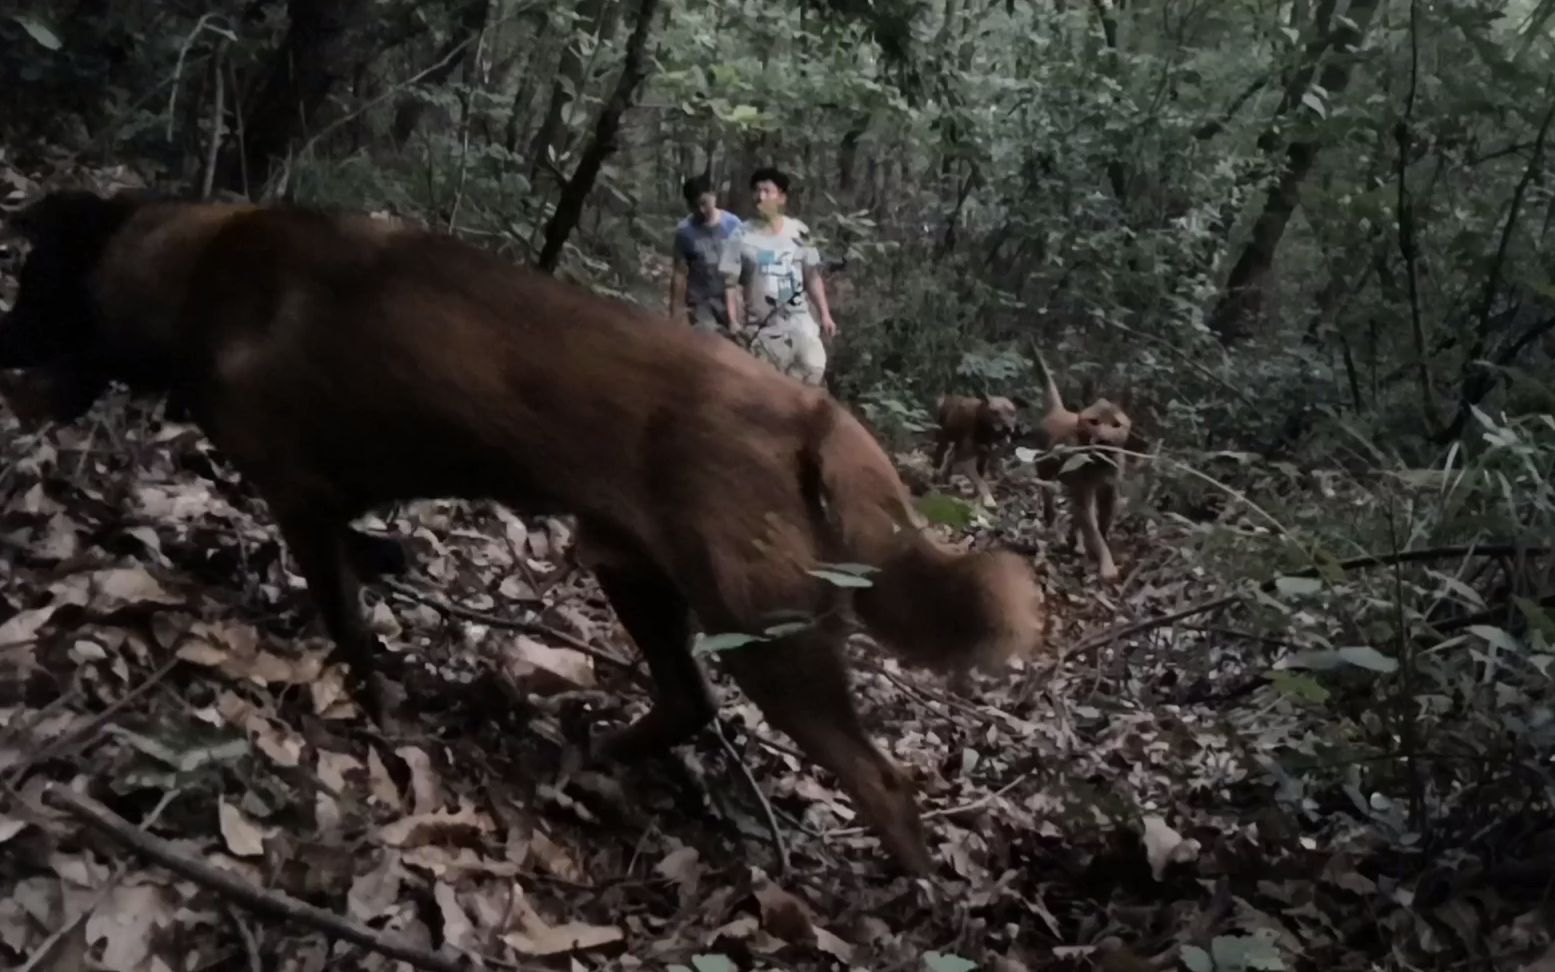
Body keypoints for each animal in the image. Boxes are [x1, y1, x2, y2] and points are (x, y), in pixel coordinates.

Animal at [3, 187, 1044, 870]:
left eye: (33, 277)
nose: (8, 366)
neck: (190, 269)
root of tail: (812, 413)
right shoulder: (334, 498)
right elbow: (372, 557)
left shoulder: (297, 491)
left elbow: (345, 612)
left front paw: (369, 693)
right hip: (635, 574)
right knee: (688, 700)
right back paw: (594, 753)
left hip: (765, 636)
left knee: (880, 784)